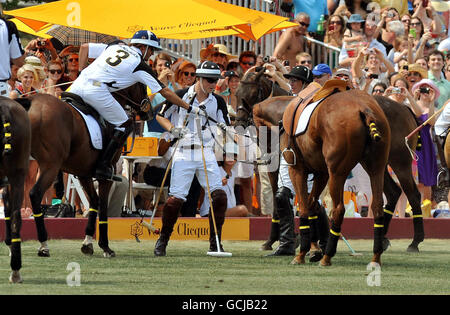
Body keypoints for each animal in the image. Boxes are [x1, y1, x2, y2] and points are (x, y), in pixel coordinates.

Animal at [16, 82, 149, 258]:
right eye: (142, 85)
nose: (147, 111)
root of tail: (30, 102)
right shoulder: (106, 174)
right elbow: (103, 206)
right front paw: (105, 247)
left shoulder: (83, 173)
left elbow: (94, 201)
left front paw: (88, 243)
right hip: (50, 166)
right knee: (34, 194)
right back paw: (43, 245)